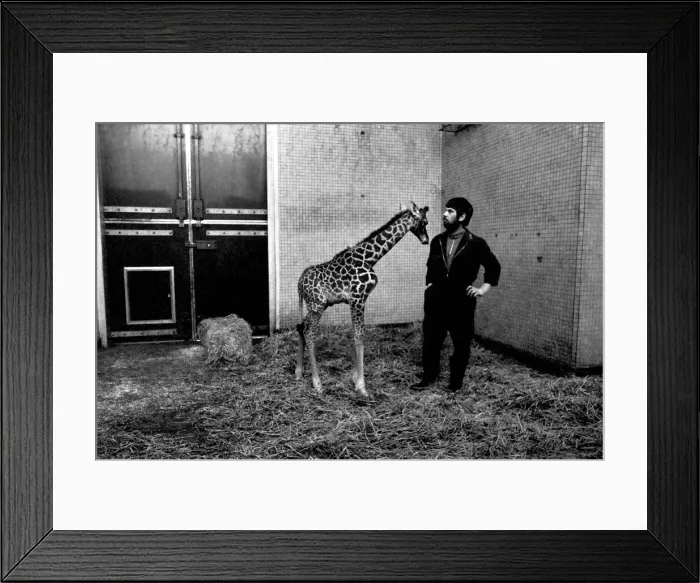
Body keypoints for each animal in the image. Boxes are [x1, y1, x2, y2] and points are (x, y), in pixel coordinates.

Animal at [295, 202, 430, 397]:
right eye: (424, 221)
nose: (426, 240)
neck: (370, 258)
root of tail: (299, 284)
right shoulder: (359, 298)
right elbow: (359, 337)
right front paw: (362, 387)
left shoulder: (355, 301)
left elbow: (355, 335)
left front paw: (354, 378)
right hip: (317, 305)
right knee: (309, 332)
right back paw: (317, 384)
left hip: (318, 305)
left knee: (301, 326)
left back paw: (298, 371)